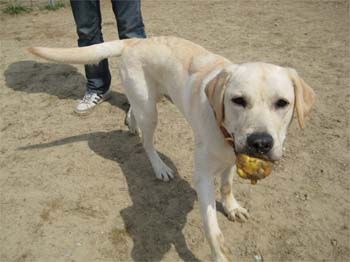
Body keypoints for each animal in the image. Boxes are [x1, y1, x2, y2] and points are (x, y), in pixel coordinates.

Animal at [29, 37, 314, 262]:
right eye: (238, 100)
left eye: (282, 103)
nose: (260, 143)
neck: (224, 131)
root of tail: (135, 41)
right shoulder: (203, 177)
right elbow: (212, 230)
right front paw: (219, 252)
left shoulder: (232, 159)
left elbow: (227, 185)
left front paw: (232, 207)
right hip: (150, 110)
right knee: (147, 142)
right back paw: (160, 167)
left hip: (149, 101)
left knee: (133, 111)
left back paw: (130, 125)